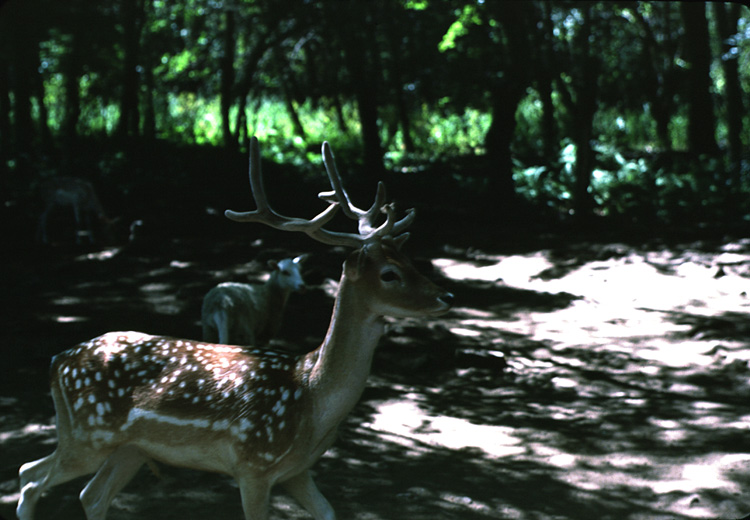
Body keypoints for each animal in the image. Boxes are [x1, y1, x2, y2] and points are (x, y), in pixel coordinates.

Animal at [17, 137, 456, 520]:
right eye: (389, 274)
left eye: (410, 260)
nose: (446, 296)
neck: (311, 399)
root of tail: (57, 362)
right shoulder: (253, 465)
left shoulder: (298, 471)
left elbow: (331, 512)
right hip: (88, 434)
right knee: (28, 477)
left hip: (129, 449)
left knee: (89, 495)